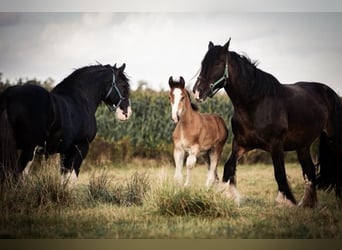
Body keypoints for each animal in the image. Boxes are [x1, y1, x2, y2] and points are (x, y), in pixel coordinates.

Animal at [0, 63, 132, 183]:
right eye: (123, 85)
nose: (127, 113)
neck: (80, 100)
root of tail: (9, 95)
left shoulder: (65, 151)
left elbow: (64, 178)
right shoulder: (80, 147)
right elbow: (71, 179)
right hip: (28, 149)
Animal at [192, 38, 342, 207]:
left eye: (218, 63)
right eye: (203, 63)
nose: (198, 91)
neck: (256, 103)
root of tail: (329, 92)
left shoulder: (276, 144)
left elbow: (279, 173)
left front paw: (286, 201)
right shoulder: (240, 144)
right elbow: (229, 168)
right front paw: (229, 196)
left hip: (334, 140)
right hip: (303, 145)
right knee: (309, 170)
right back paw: (308, 204)